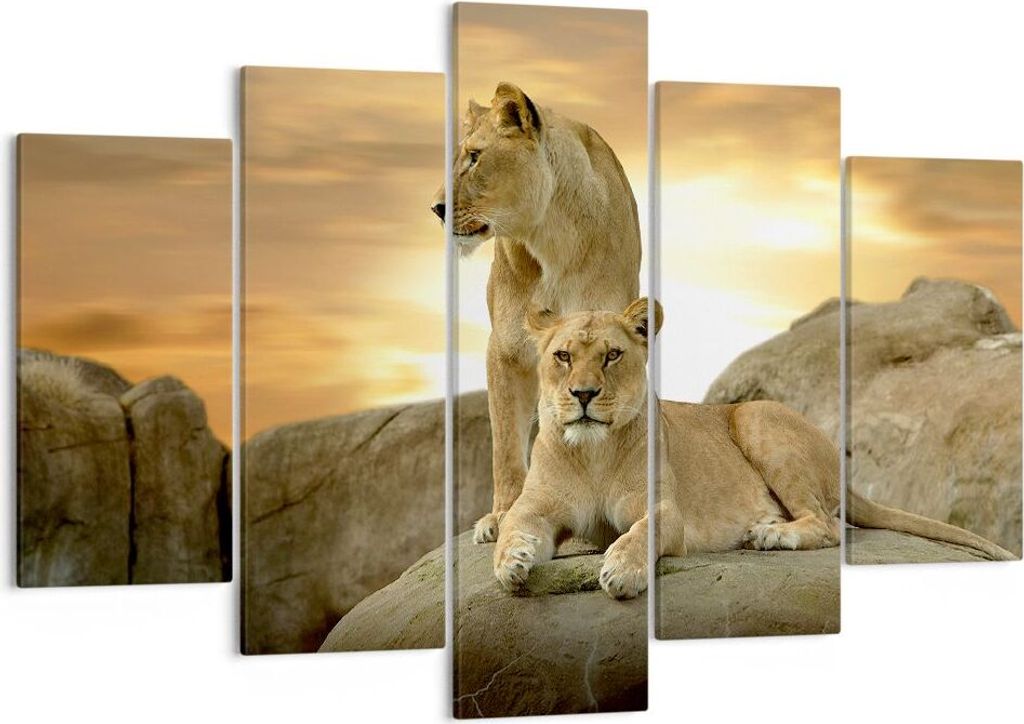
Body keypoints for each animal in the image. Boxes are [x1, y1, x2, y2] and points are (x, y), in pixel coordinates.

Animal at [431, 82, 642, 544]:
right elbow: (506, 439)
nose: (436, 208)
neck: (549, 236)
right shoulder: (507, 349)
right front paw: (503, 514)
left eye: (475, 157)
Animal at [493, 299, 1016, 600]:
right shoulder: (537, 506)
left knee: (827, 525)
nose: (583, 394)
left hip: (756, 418)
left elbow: (640, 533)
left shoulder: (665, 510)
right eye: (563, 356)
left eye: (612, 355)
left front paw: (621, 570)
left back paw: (767, 535)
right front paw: (510, 562)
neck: (592, 453)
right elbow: (514, 525)